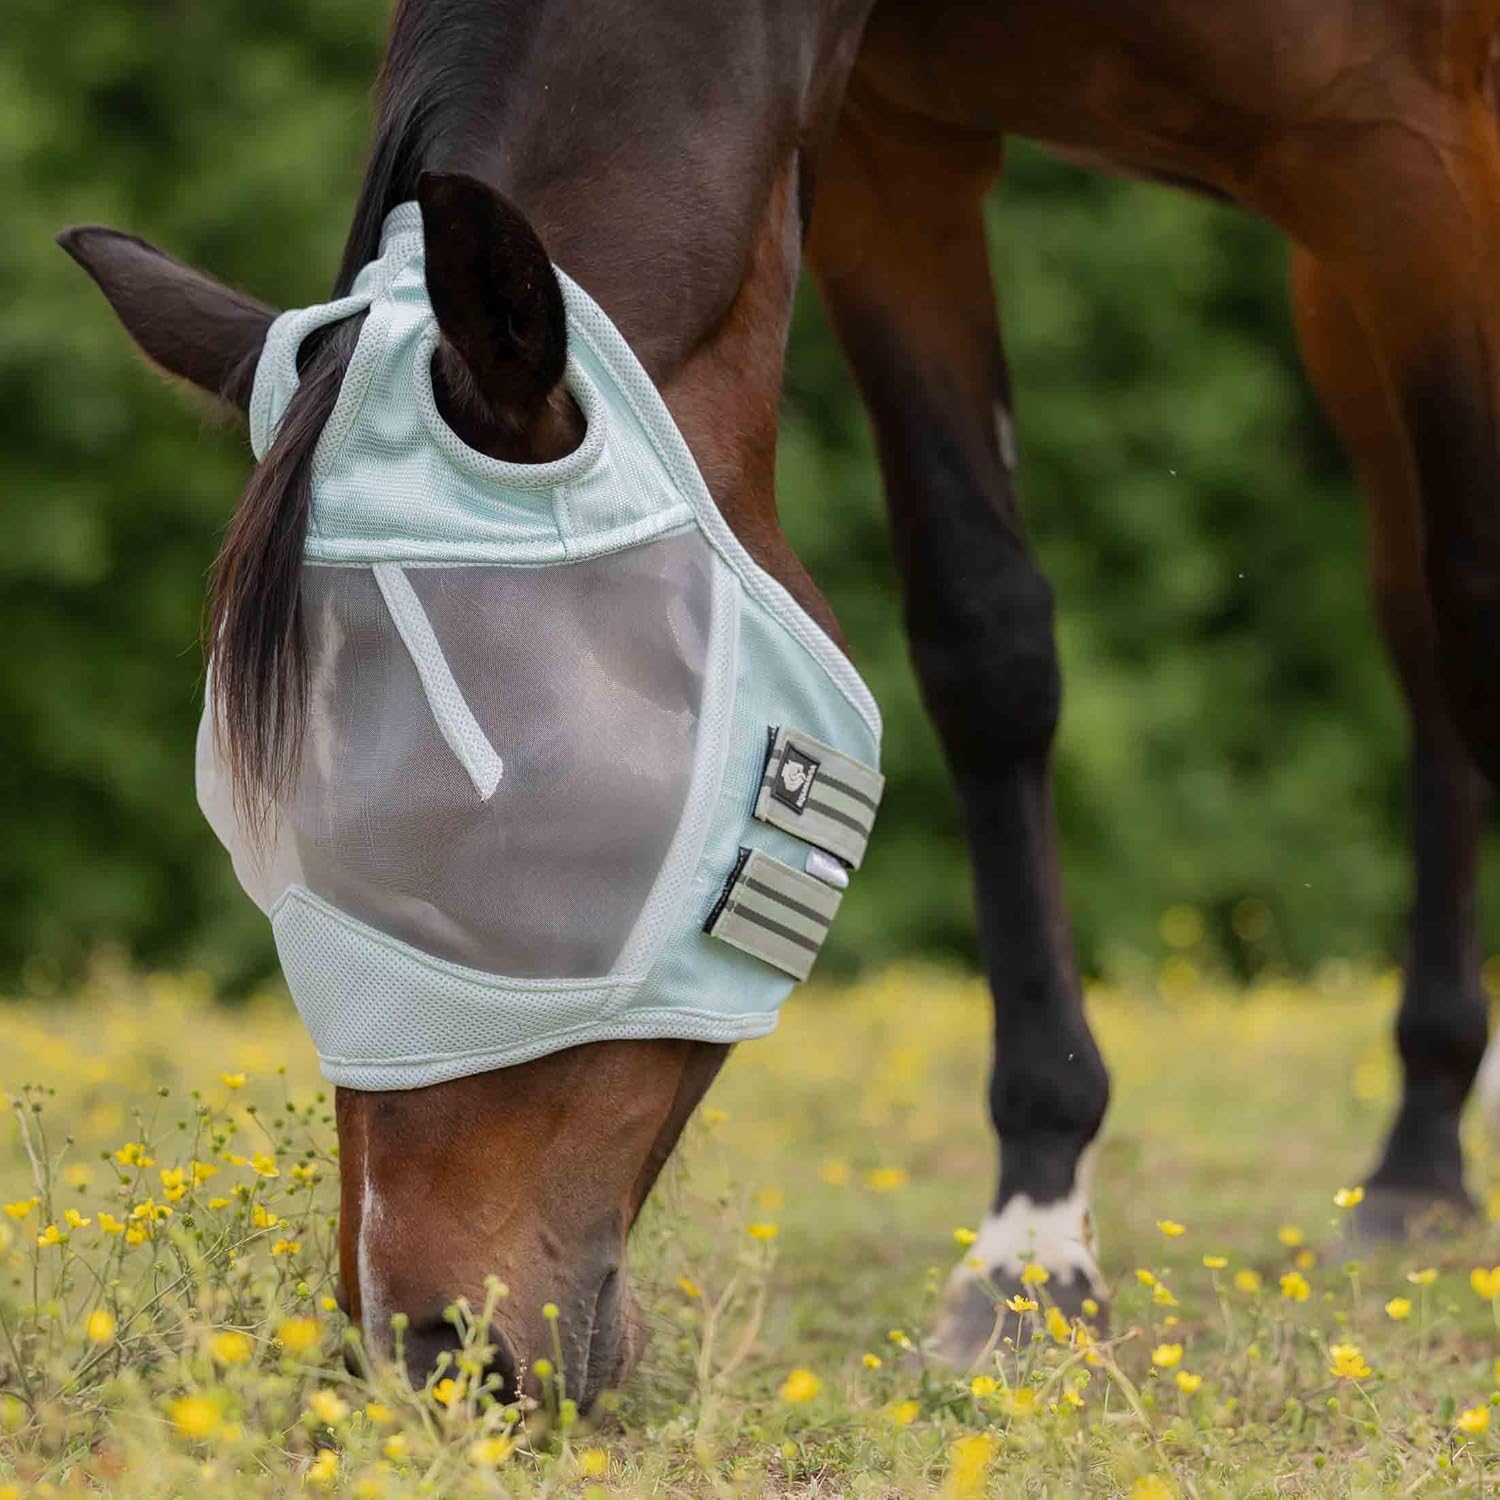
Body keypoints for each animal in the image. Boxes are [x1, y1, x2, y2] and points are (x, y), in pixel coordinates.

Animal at [60, 0, 1500, 1395]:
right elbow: (985, 640)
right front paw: (1034, 1247)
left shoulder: (1414, 158)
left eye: (551, 832)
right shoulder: (893, 155)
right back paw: (1423, 1160)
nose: (424, 1355)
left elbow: (1472, 606)